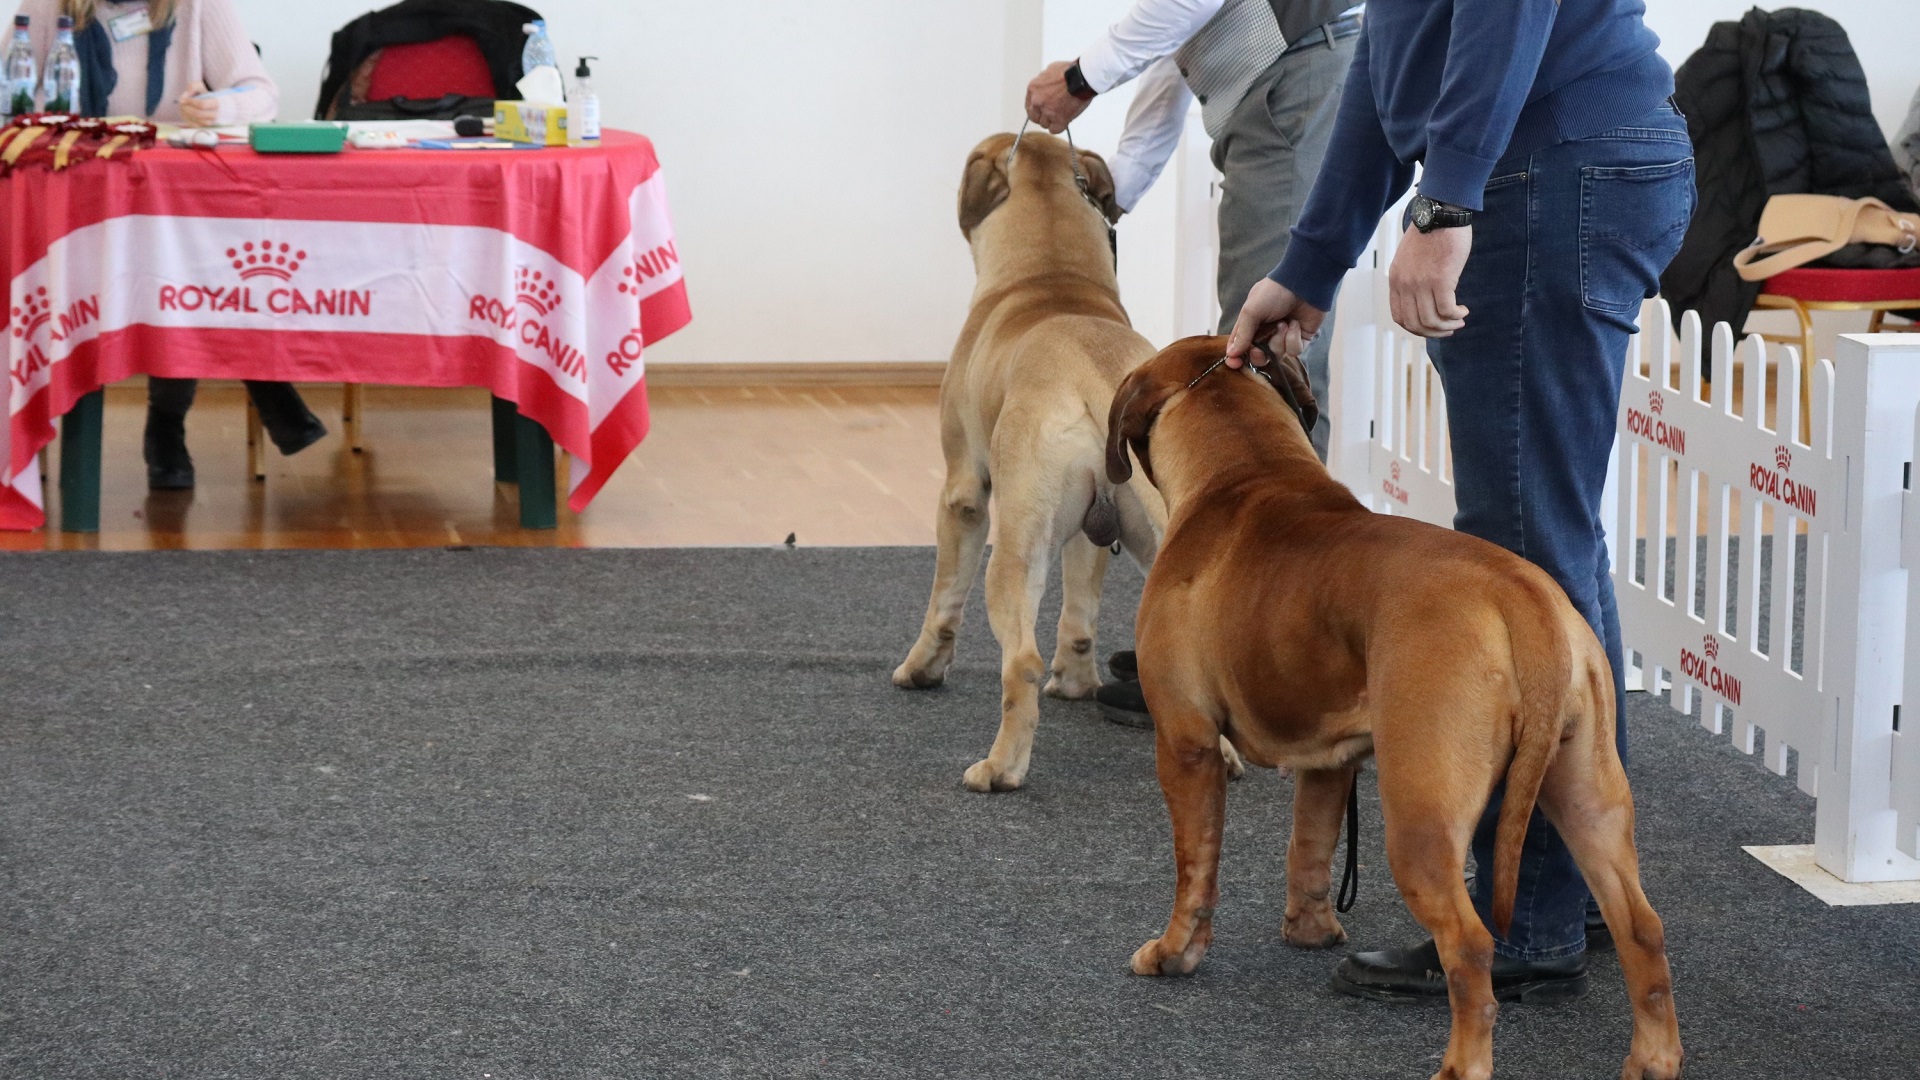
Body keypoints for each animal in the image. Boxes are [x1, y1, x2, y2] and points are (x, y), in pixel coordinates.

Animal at [894, 132, 1227, 793]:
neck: (1051, 277)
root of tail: (1098, 368)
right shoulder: (1096, 530)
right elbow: (1081, 609)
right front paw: (1077, 682)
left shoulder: (963, 493)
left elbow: (943, 599)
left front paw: (922, 667)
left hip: (1015, 552)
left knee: (1018, 661)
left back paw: (1000, 767)